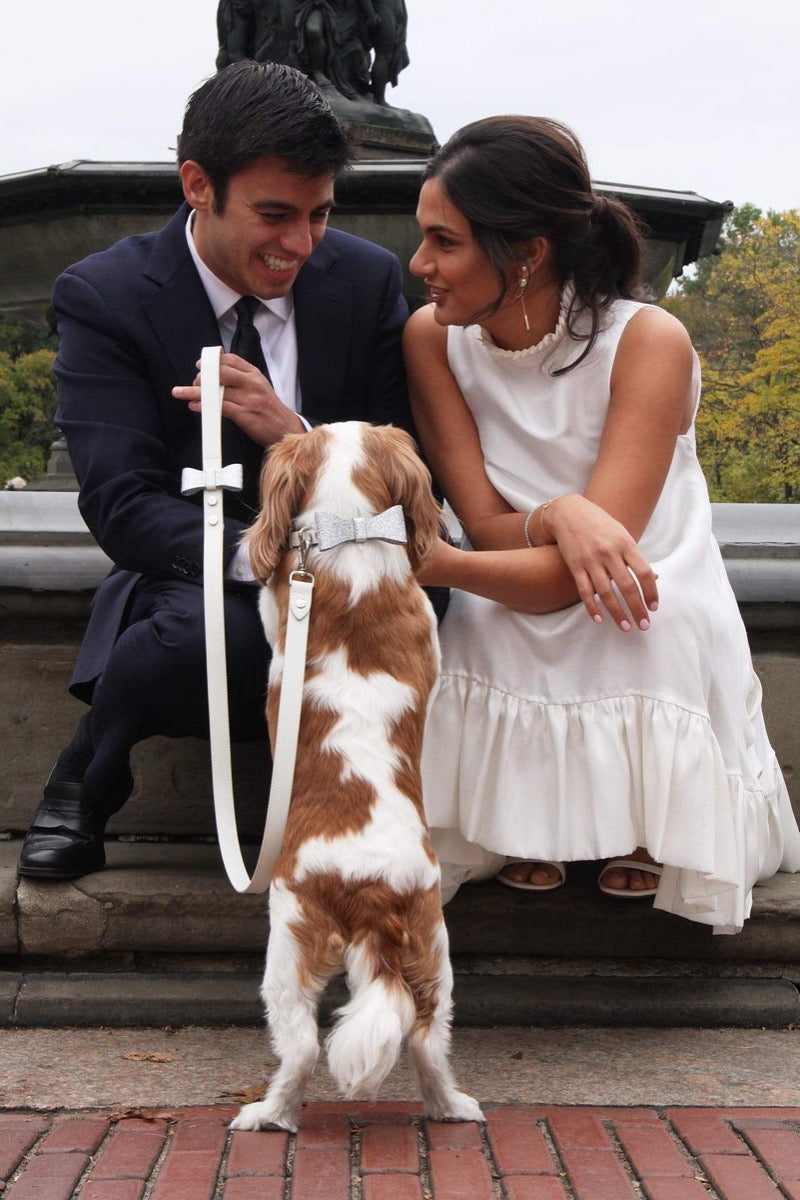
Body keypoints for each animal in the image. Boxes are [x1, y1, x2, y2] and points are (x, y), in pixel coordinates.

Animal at [231, 422, 482, 1132]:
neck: (350, 529)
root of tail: (373, 888)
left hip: (289, 944)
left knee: (302, 1047)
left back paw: (268, 1113)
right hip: (433, 949)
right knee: (426, 1040)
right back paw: (450, 1107)